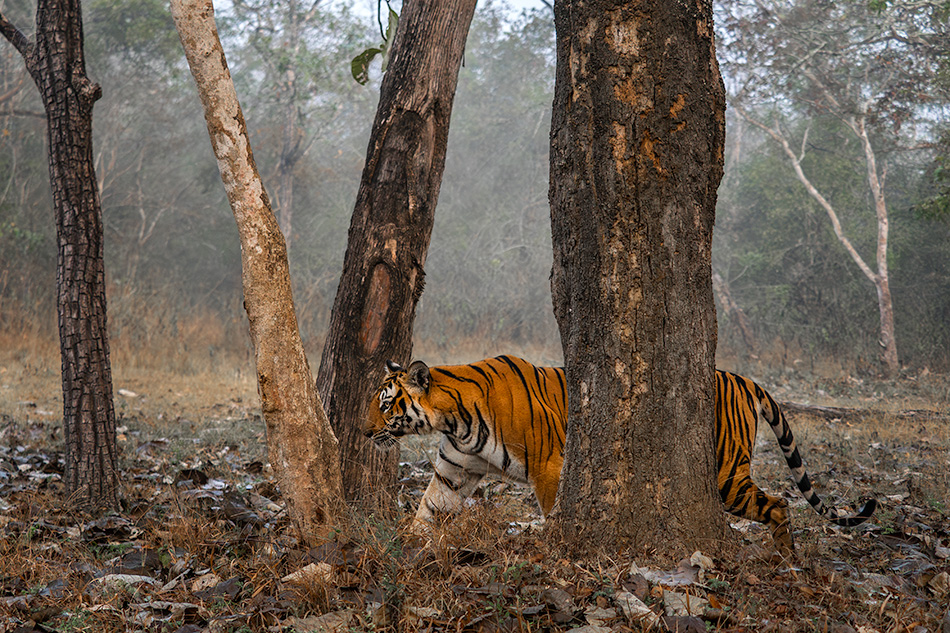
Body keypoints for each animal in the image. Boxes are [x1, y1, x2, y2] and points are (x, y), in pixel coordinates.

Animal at [364, 354, 876, 556]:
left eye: (386, 404)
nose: (363, 430)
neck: (453, 418)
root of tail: (742, 377)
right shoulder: (454, 469)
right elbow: (428, 510)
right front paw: (405, 546)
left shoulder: (550, 466)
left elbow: (553, 512)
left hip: (727, 475)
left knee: (780, 503)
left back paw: (785, 558)